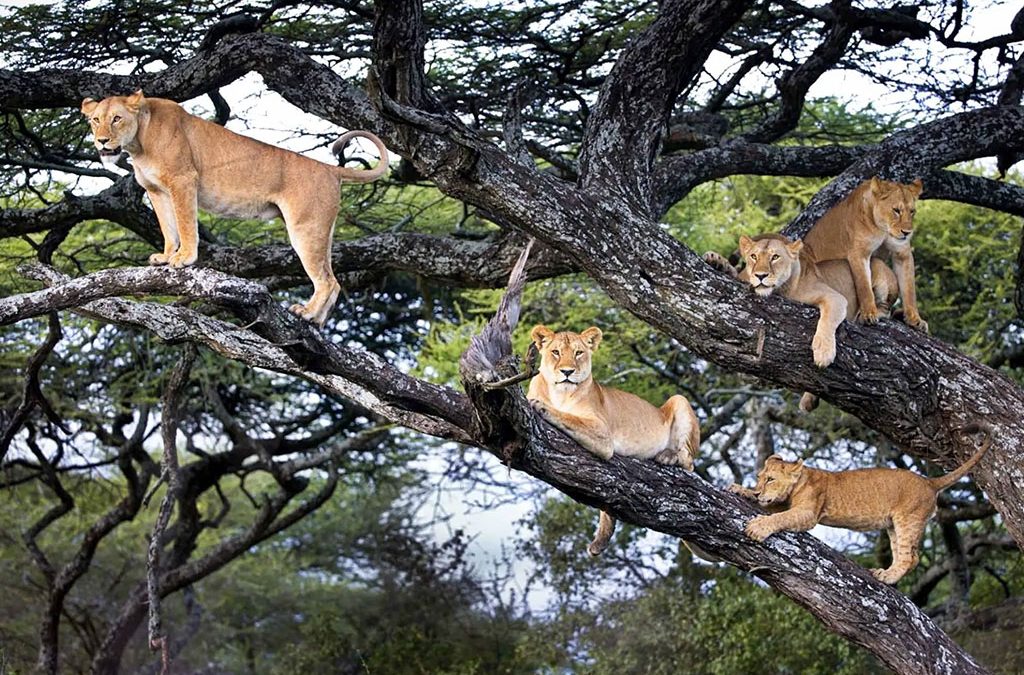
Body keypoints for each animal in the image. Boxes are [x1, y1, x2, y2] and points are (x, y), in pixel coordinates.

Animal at [80, 90, 389, 327]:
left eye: (117, 118)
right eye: (95, 120)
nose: (101, 140)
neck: (139, 143)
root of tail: (329, 169)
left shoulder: (183, 180)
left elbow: (185, 224)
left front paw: (184, 258)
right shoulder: (157, 191)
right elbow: (168, 228)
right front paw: (166, 256)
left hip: (305, 227)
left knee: (326, 280)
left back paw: (307, 313)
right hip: (321, 230)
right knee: (334, 280)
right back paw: (317, 321)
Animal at [526, 325, 700, 556]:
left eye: (578, 353)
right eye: (555, 352)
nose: (567, 372)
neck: (559, 394)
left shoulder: (602, 433)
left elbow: (569, 417)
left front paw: (541, 406)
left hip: (679, 400)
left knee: (689, 463)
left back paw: (668, 456)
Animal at [729, 422, 992, 584]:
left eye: (771, 479)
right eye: (760, 478)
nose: (759, 491)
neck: (801, 480)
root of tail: (929, 481)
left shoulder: (808, 513)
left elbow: (779, 516)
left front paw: (757, 527)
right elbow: (771, 507)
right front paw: (741, 490)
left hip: (908, 519)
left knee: (910, 557)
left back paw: (887, 577)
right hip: (893, 525)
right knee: (907, 555)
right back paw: (886, 573)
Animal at [803, 177, 926, 332]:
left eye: (912, 212)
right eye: (896, 210)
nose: (907, 232)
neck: (883, 229)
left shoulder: (902, 253)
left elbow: (909, 290)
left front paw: (915, 319)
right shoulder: (859, 253)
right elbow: (864, 287)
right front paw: (869, 314)